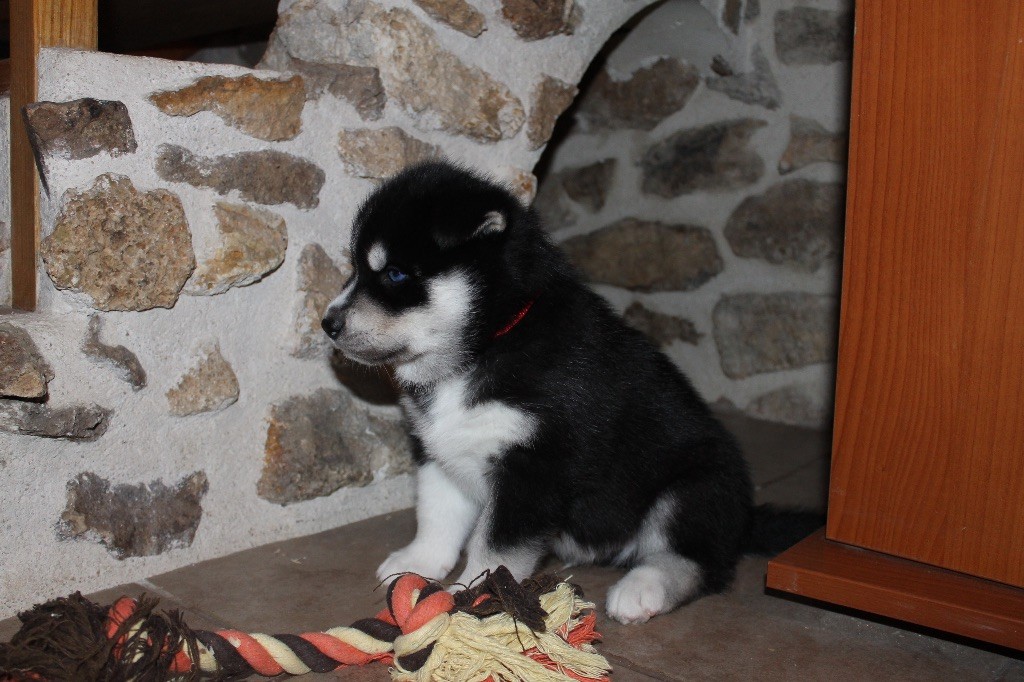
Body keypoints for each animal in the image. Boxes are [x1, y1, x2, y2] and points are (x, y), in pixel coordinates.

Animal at [322, 160, 815, 624]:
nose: (328, 323)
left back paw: (643, 590)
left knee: (697, 562)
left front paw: (475, 597)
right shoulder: (440, 450)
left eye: (396, 274)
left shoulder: (535, 467)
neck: (489, 342)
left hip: (695, 486)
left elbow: (495, 547)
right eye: (356, 269)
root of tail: (745, 517)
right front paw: (418, 561)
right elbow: (436, 513)